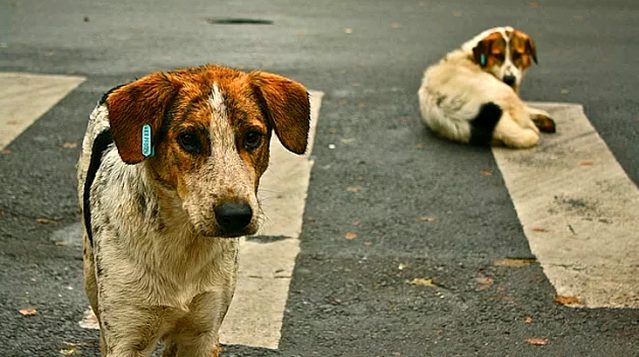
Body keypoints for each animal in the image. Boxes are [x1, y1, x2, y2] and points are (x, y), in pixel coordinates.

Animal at [76, 64, 312, 356]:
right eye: (188, 139)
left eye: (252, 137)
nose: (235, 216)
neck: (182, 242)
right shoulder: (126, 339)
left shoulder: (203, 333)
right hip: (91, 275)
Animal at [418, 25, 556, 147]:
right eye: (497, 56)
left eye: (518, 55)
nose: (509, 79)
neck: (472, 58)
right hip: (505, 92)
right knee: (527, 124)